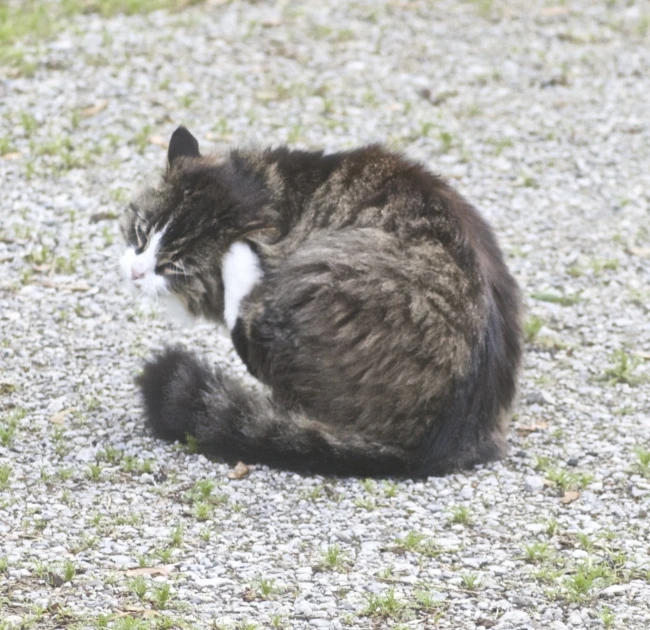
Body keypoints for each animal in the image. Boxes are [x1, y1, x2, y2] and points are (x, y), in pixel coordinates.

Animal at [119, 127, 520, 478]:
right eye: (141, 233)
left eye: (174, 265)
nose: (134, 272)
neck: (271, 186)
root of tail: (432, 448)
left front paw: (239, 255)